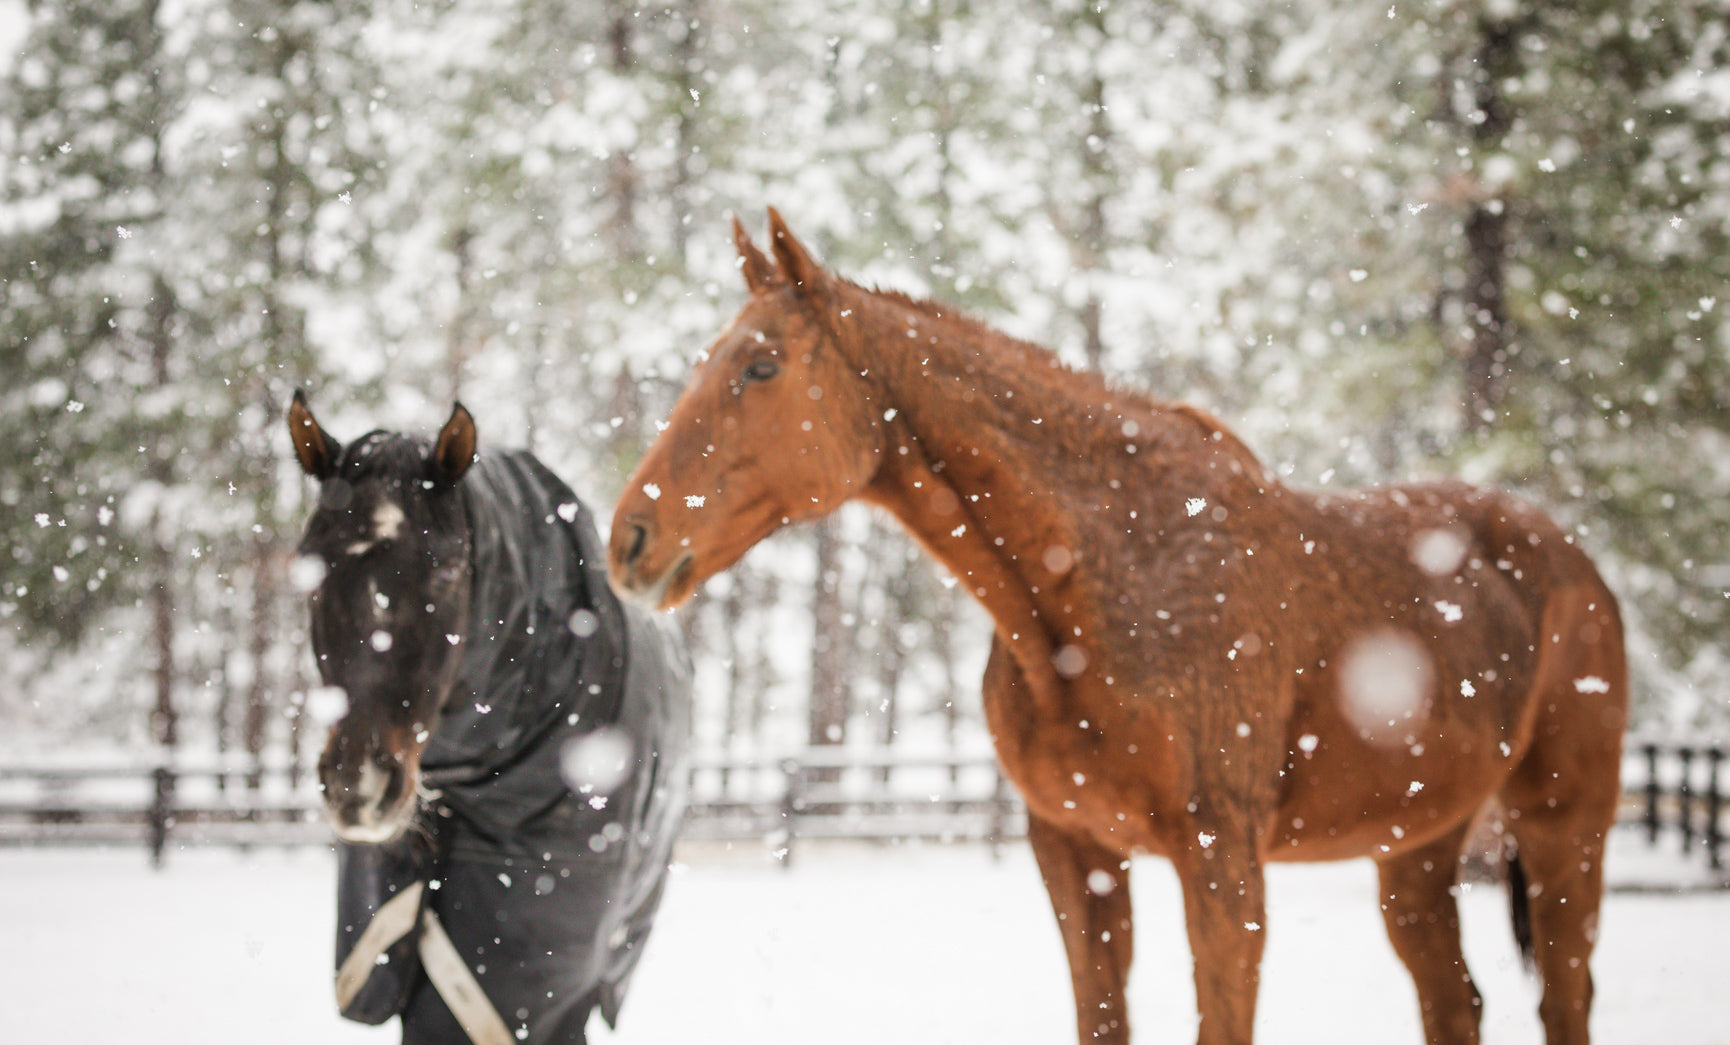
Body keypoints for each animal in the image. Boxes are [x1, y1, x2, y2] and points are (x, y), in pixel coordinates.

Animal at [612, 208, 1633, 1038]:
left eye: (760, 365)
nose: (631, 539)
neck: (1111, 584)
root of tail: (1574, 563)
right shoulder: (1076, 852)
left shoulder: (1222, 863)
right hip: (1418, 846)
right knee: (1456, 1001)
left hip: (1564, 828)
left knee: (1566, 997)